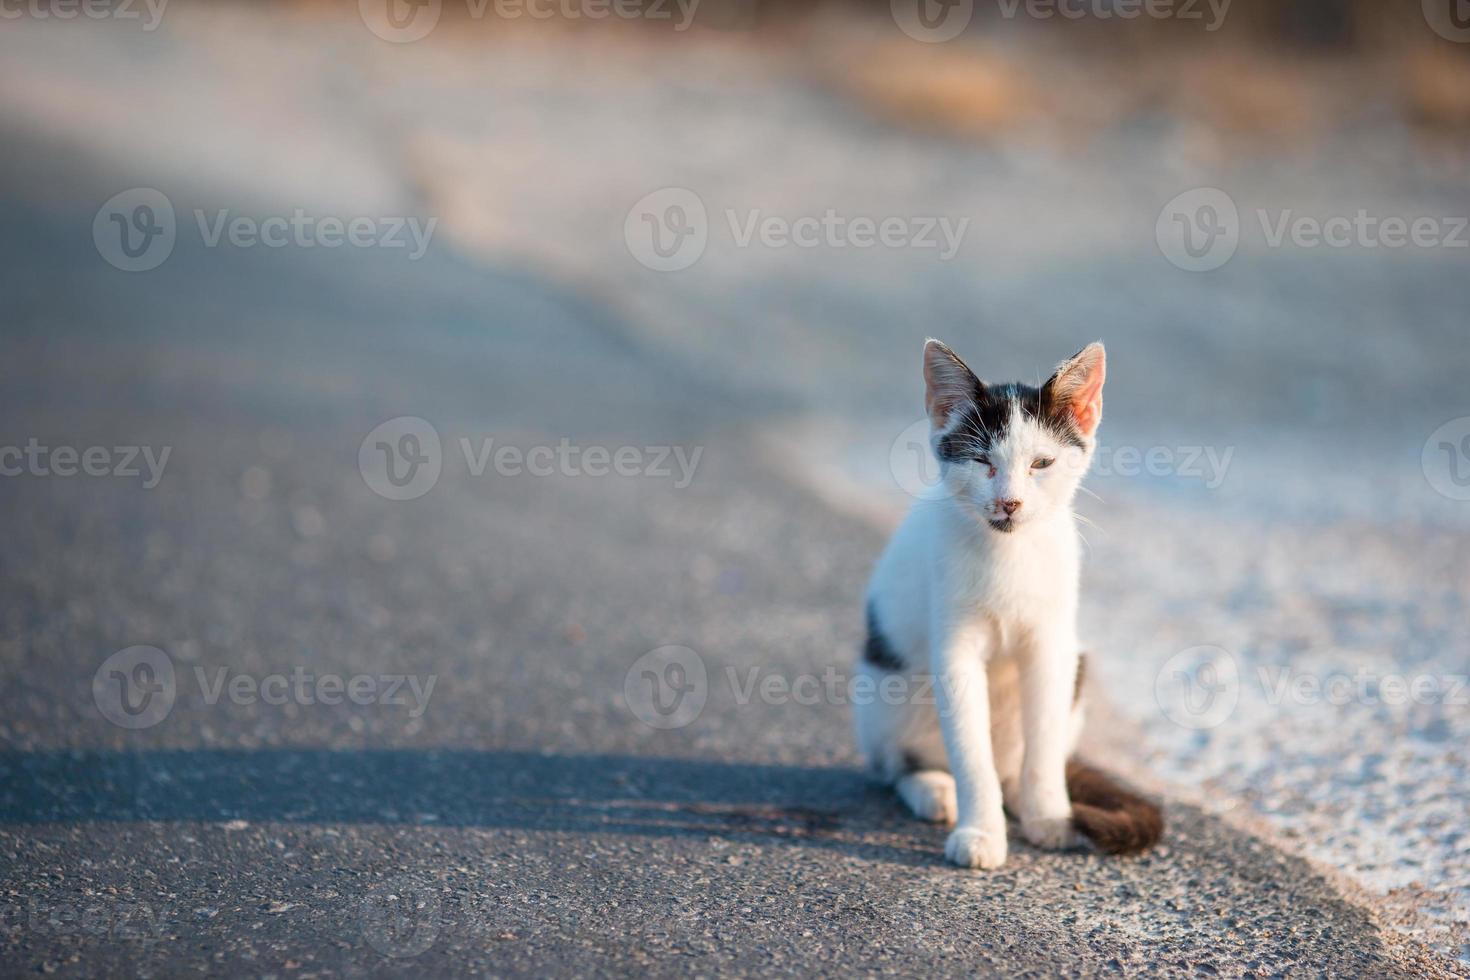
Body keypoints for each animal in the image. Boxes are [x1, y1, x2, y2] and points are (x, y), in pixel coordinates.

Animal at [858, 337, 1164, 863]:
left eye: (1041, 464)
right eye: (982, 461)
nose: (1009, 502)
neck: (1009, 554)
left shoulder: (1051, 644)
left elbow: (1044, 740)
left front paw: (1050, 816)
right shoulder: (954, 649)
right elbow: (969, 750)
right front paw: (980, 832)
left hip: (1076, 666)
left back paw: (1024, 797)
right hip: (880, 689)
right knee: (893, 763)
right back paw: (932, 789)